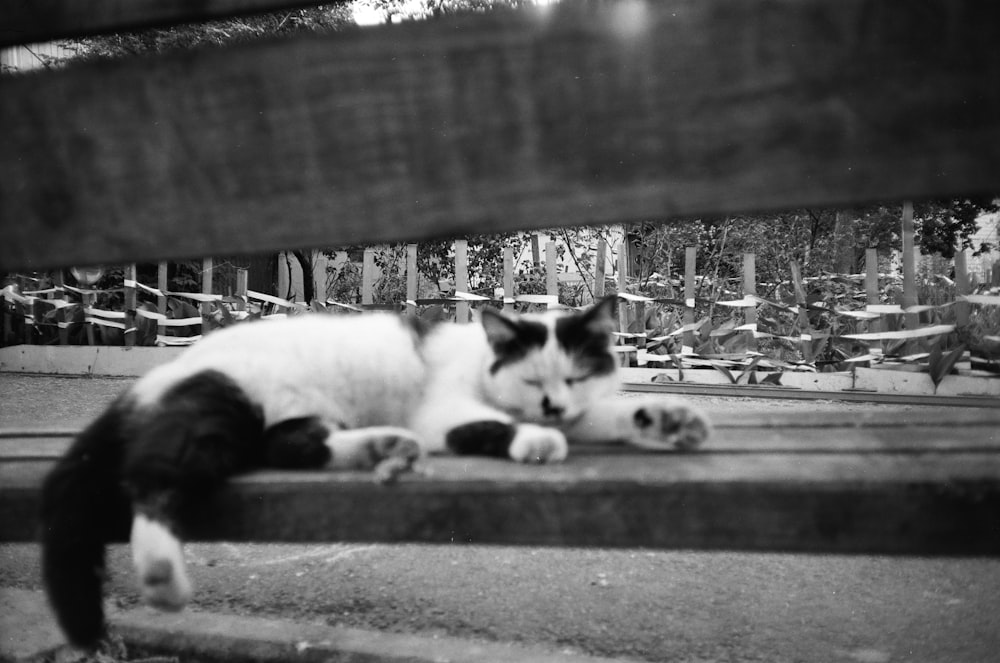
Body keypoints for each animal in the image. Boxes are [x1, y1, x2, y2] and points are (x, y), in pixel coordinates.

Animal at [41, 296, 712, 648]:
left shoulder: (583, 410)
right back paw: (162, 576)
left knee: (291, 446)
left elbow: (610, 414)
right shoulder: (445, 411)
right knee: (152, 480)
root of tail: (152, 380)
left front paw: (671, 420)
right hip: (222, 410)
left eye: (573, 376)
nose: (550, 407)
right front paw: (536, 439)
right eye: (530, 379)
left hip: (284, 420)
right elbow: (491, 426)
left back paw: (381, 446)